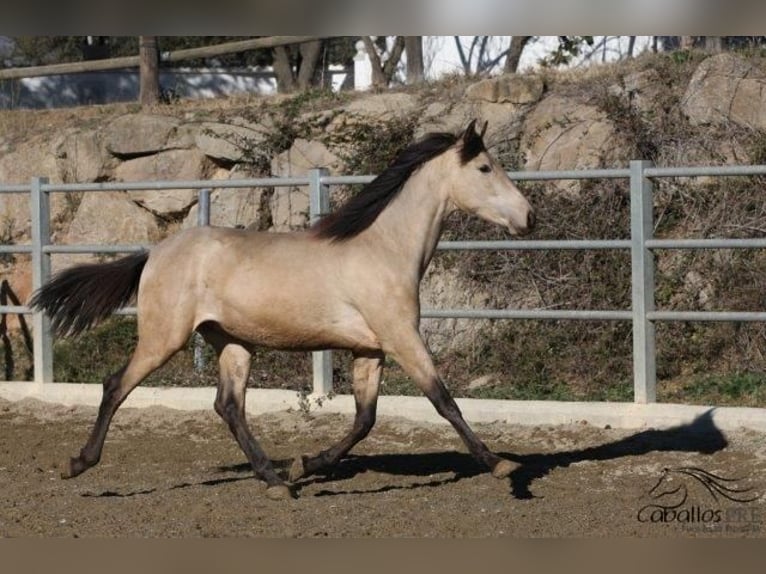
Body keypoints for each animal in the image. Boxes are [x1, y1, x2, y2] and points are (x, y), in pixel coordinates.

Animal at [30, 119, 536, 502]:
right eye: (485, 167)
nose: (528, 217)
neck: (383, 250)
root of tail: (154, 253)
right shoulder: (402, 338)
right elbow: (443, 399)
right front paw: (501, 466)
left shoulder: (371, 350)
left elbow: (365, 420)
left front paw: (303, 465)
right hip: (164, 338)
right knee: (116, 386)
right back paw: (77, 464)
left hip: (232, 341)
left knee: (229, 406)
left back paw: (275, 481)